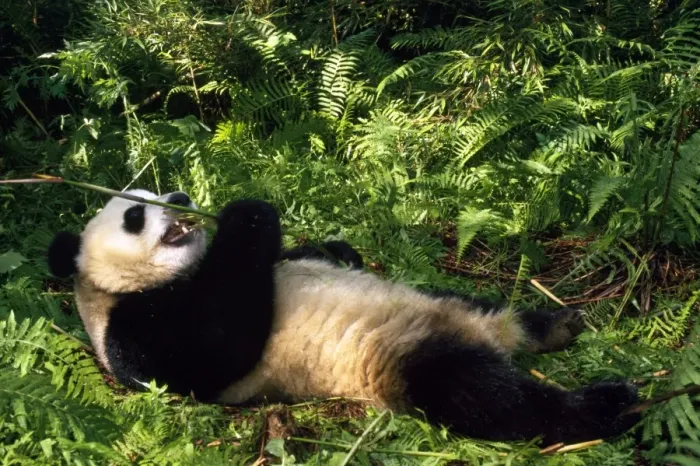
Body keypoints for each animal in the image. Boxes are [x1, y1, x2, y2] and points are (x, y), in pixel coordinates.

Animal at [47, 190, 640, 445]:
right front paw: (248, 215)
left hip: (439, 299)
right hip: (404, 357)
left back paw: (553, 324)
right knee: (490, 399)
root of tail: (481, 334)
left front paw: (338, 249)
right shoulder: (134, 334)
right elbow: (216, 344)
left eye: (155, 191)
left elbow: (315, 254)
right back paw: (609, 404)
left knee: (486, 309)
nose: (179, 195)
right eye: (133, 213)